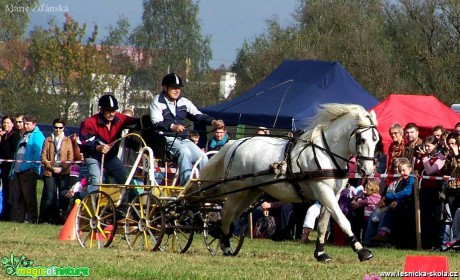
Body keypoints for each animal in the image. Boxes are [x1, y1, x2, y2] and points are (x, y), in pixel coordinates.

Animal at [189, 103, 380, 262]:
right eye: (362, 139)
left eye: (376, 140)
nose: (368, 170)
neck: (326, 152)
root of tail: (235, 143)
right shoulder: (323, 190)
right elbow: (342, 219)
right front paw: (362, 251)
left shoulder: (333, 194)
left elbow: (323, 224)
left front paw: (320, 253)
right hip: (237, 189)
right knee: (227, 213)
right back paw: (226, 245)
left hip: (251, 191)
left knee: (234, 214)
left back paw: (223, 240)